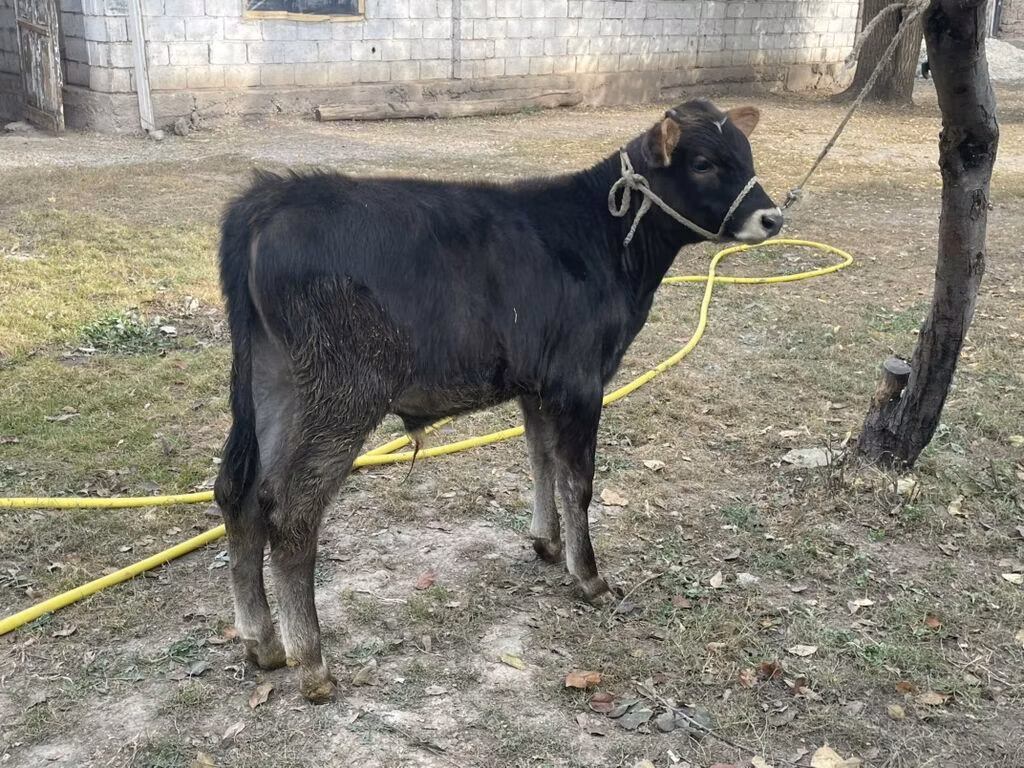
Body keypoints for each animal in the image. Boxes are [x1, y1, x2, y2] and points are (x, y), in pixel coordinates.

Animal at [213, 99, 783, 702]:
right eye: (703, 163)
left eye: (745, 153)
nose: (772, 218)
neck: (601, 239)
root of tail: (273, 198)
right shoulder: (580, 380)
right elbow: (577, 480)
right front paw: (588, 576)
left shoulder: (537, 386)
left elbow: (541, 461)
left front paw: (546, 543)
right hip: (341, 391)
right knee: (290, 508)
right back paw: (314, 664)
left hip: (273, 379)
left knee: (238, 491)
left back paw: (263, 642)